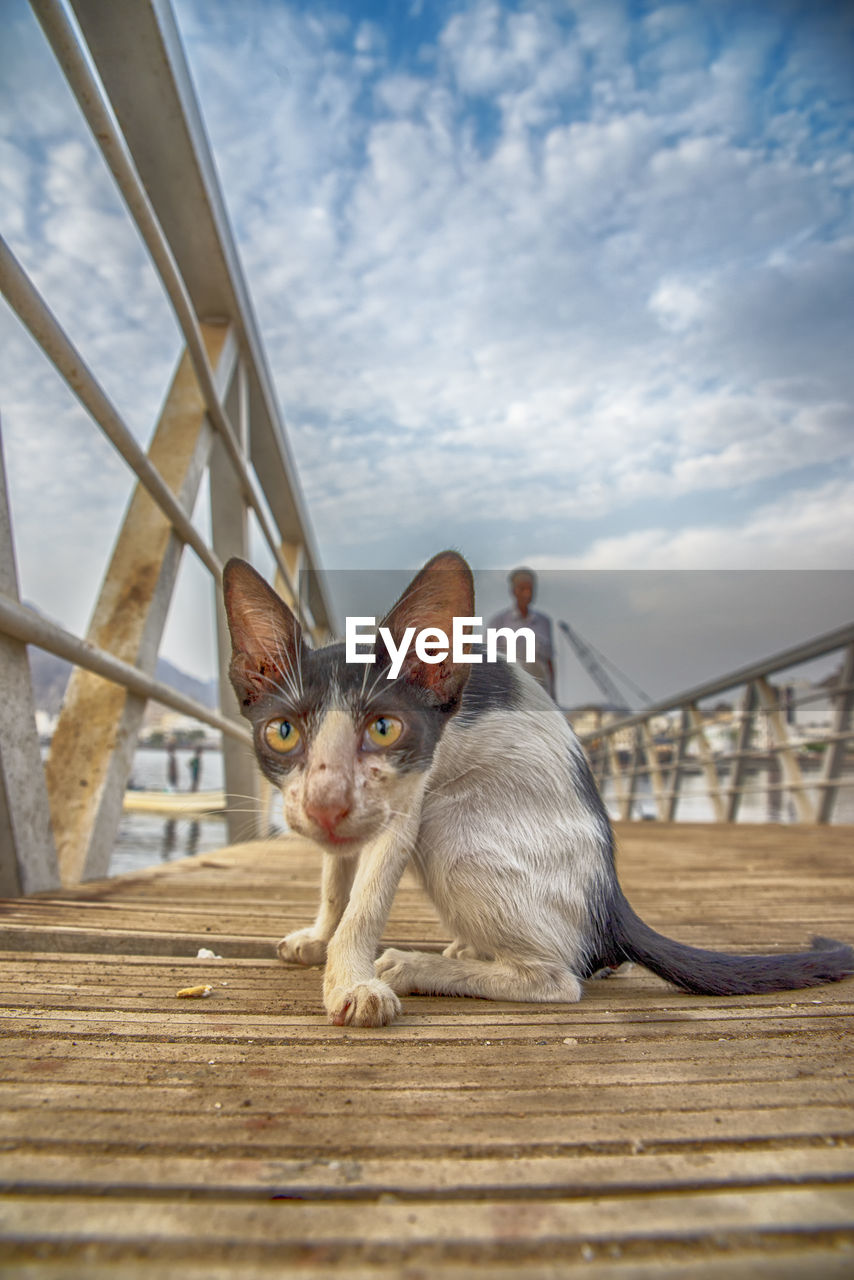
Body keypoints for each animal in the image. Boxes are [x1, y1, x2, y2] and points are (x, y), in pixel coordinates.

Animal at [222, 550, 854, 1029]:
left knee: (558, 978)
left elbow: (366, 900)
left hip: (451, 824)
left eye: (384, 728)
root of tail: (610, 900)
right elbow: (336, 882)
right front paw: (319, 937)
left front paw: (352, 982)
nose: (326, 804)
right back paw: (469, 947)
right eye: (283, 732)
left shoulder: (407, 801)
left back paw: (419, 966)